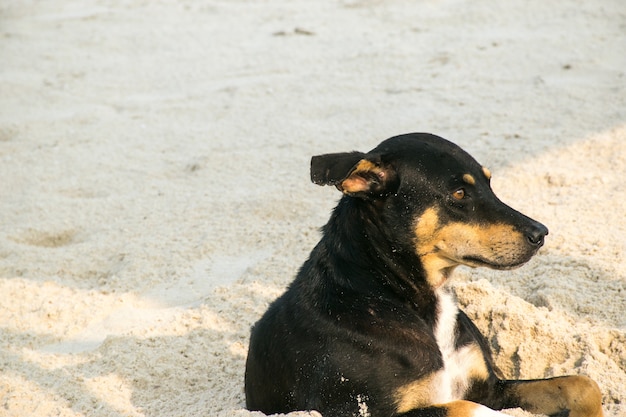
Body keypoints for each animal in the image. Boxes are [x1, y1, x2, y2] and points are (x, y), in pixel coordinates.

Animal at [243, 133, 600, 416]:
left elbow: (583, 385)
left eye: (489, 184)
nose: (541, 233)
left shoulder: (489, 389)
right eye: (459, 194)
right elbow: (467, 408)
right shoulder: (363, 411)